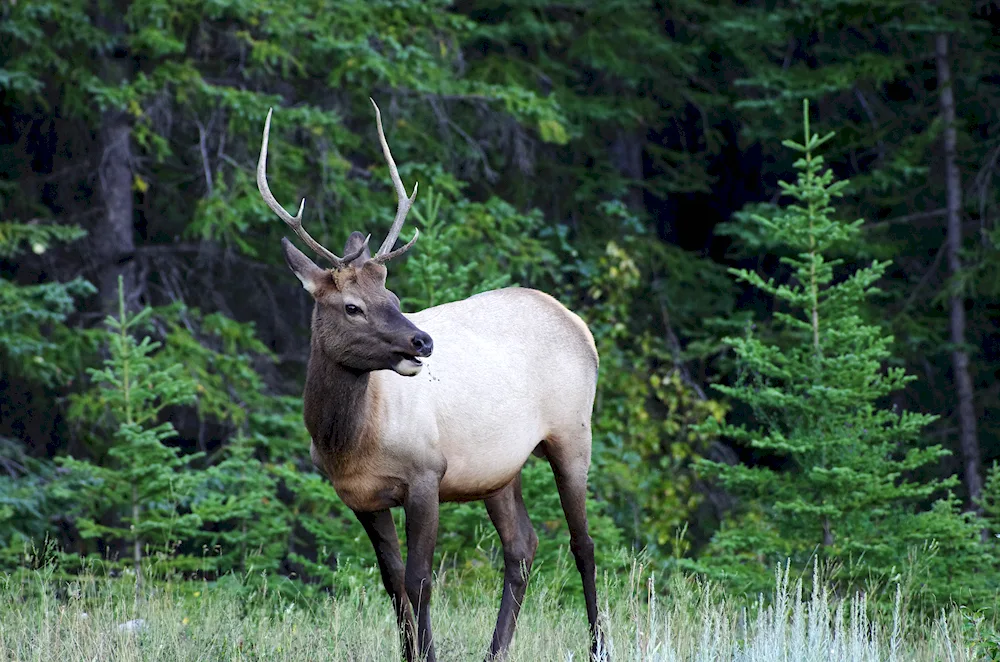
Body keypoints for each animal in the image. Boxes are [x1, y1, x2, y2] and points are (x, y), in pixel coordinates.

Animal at [254, 101, 604, 660]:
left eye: (393, 299)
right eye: (352, 307)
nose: (422, 342)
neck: (346, 440)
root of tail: (580, 326)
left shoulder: (426, 474)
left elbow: (420, 580)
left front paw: (427, 653)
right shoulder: (361, 498)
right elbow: (393, 581)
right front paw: (411, 650)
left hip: (573, 433)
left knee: (583, 544)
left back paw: (597, 645)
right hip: (498, 468)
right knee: (522, 546)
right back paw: (495, 650)